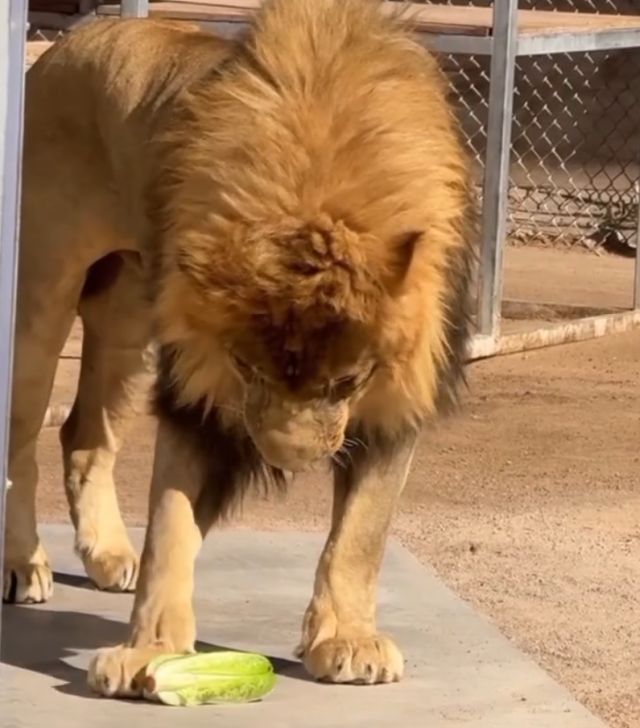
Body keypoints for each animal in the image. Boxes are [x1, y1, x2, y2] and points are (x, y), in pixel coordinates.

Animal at [5, 0, 475, 690]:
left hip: (129, 319)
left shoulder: (396, 399)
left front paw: (347, 639)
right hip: (40, 296)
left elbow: (360, 534)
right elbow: (171, 527)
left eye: (346, 382)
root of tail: (74, 41)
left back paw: (108, 554)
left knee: (85, 435)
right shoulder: (197, 396)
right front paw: (152, 651)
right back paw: (21, 564)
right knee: (21, 438)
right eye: (246, 365)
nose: (289, 460)